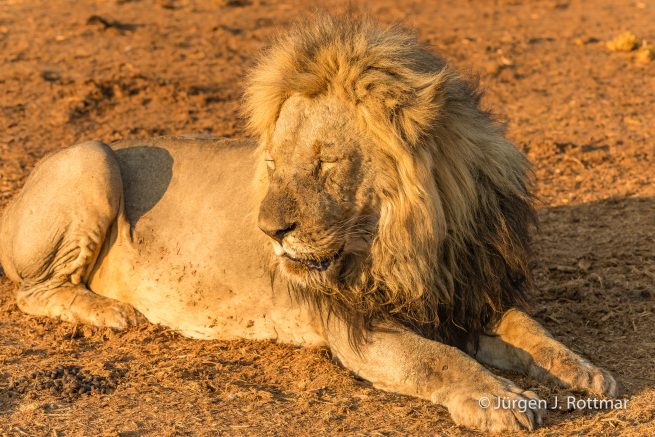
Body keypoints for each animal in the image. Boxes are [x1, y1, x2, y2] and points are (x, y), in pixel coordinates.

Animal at [0, 16, 617, 432]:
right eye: (274, 164)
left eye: (325, 163)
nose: (270, 231)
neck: (413, 244)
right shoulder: (359, 328)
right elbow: (438, 360)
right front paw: (502, 400)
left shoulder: (465, 296)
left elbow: (528, 328)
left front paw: (587, 374)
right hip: (91, 157)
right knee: (35, 290)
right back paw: (111, 313)